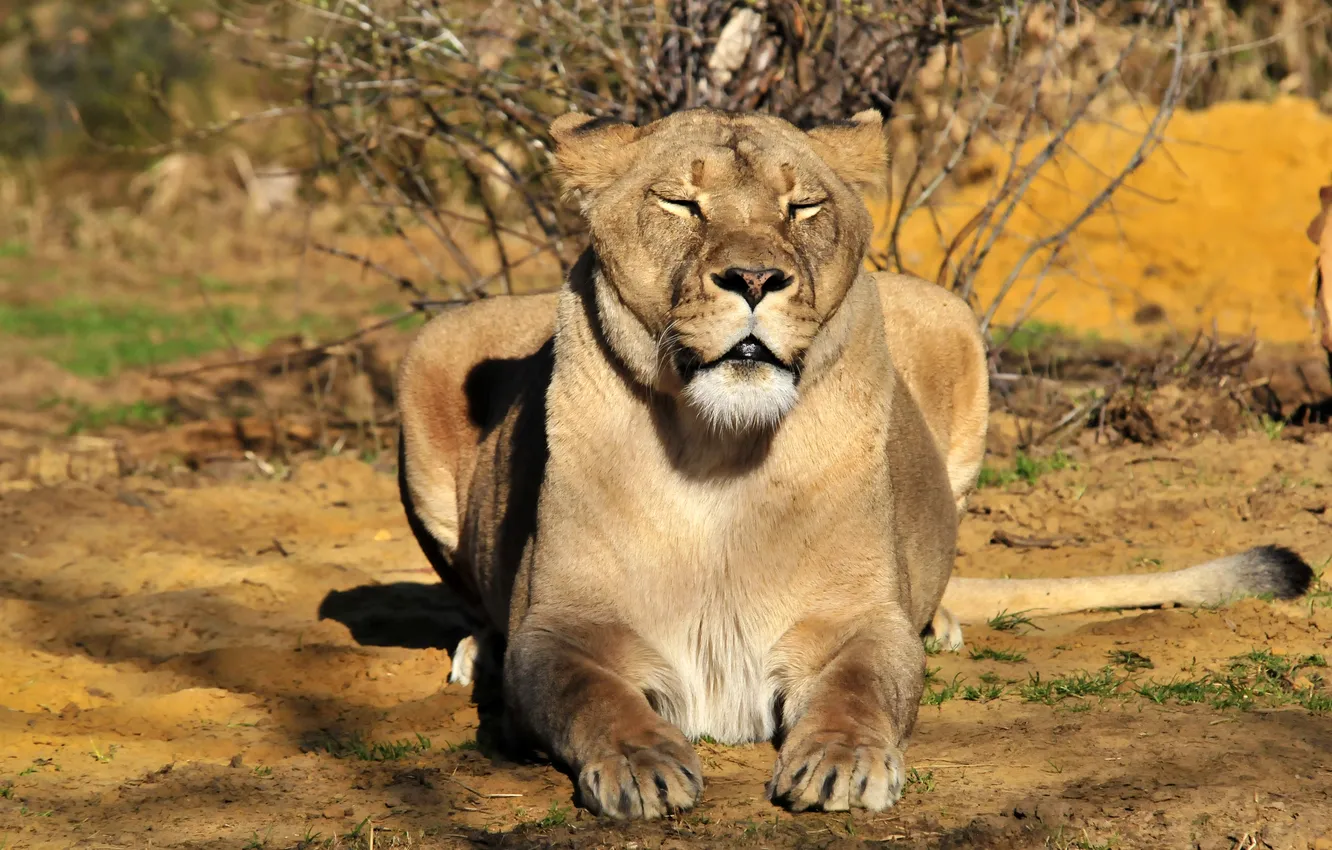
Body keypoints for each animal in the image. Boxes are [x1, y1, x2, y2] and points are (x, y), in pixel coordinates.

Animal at [394, 108, 1313, 820]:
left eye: (802, 205)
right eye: (681, 202)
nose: (755, 277)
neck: (717, 450)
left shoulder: (857, 620)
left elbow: (861, 687)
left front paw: (842, 765)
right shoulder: (564, 629)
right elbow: (595, 696)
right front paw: (641, 766)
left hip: (950, 319)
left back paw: (941, 621)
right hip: (433, 348)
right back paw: (477, 650)